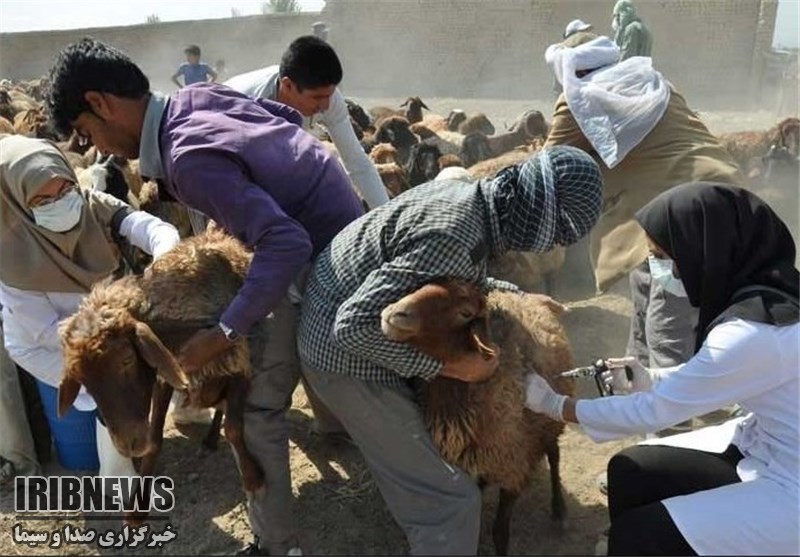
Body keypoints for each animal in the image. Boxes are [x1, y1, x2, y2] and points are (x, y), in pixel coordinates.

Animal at [60, 228, 266, 524]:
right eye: (85, 382)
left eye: (127, 359)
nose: (128, 445)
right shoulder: (164, 378)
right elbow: (155, 441)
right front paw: (137, 511)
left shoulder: (238, 362)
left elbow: (235, 428)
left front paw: (253, 478)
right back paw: (209, 440)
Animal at [382, 280, 576, 552]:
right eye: (422, 285)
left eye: (465, 313)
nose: (395, 313)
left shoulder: (514, 468)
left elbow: (500, 533)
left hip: (548, 425)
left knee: (554, 455)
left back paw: (559, 511)